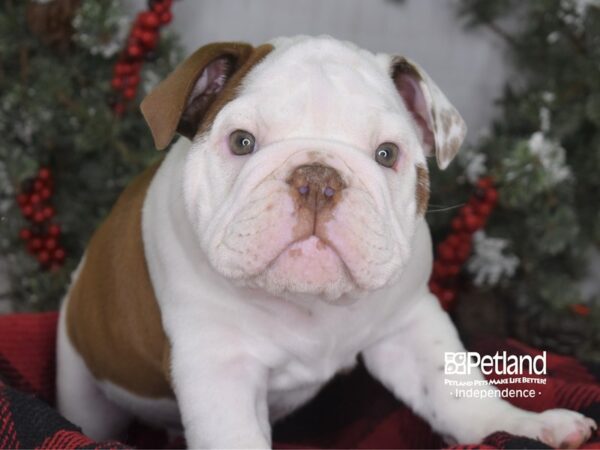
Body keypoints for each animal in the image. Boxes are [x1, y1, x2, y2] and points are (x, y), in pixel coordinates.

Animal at [56, 35, 596, 446]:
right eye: (242, 142)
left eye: (386, 153)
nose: (317, 179)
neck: (312, 305)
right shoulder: (219, 369)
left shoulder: (409, 325)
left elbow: (457, 392)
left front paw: (523, 426)